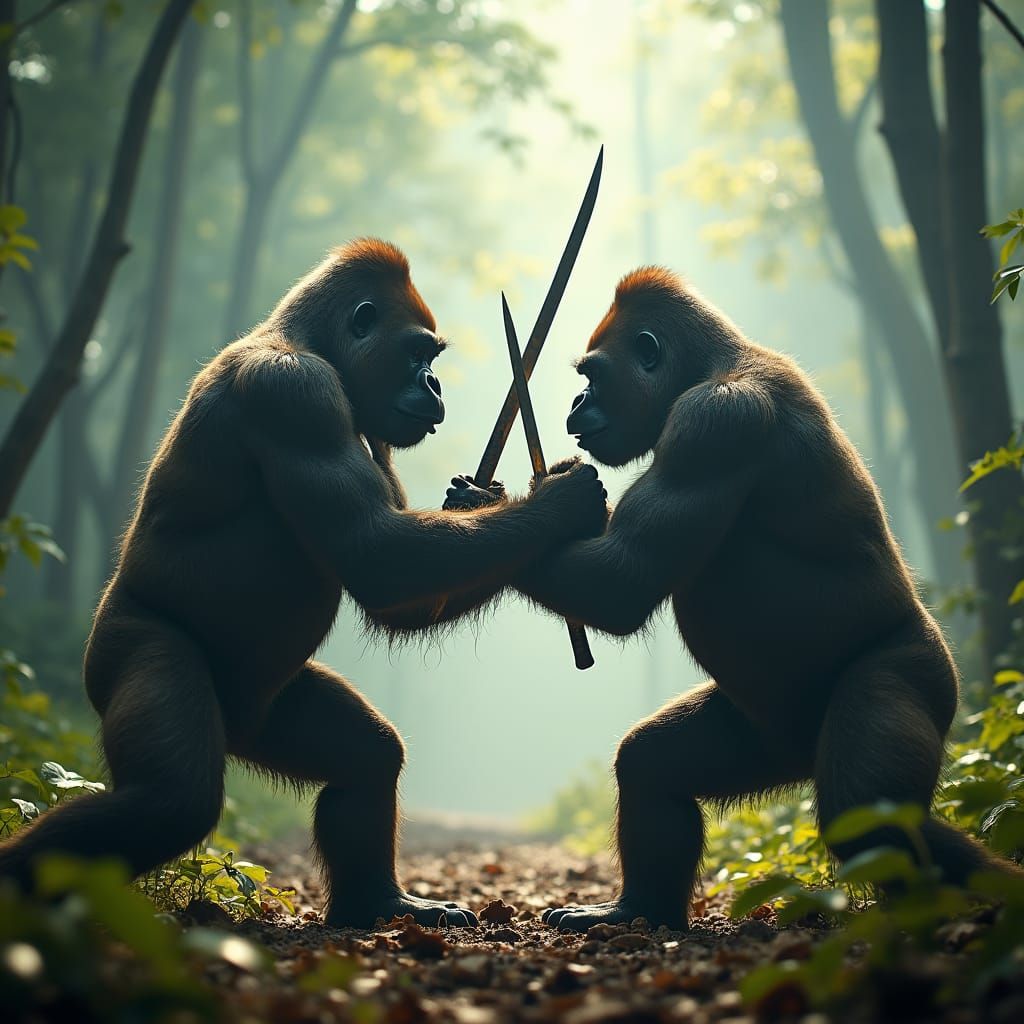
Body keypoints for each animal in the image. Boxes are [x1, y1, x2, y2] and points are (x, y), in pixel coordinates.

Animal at [0, 240, 608, 928]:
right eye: (418, 356)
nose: (433, 384)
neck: (311, 344)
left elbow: (404, 595)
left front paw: (479, 498)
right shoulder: (295, 396)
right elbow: (379, 554)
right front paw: (562, 503)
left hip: (268, 714)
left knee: (369, 757)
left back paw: (379, 901)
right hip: (130, 646)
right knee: (170, 799)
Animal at [449, 266, 1020, 931]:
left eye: (594, 376)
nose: (575, 404)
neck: (709, 366)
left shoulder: (714, 425)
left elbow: (625, 578)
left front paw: (489, 505)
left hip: (910, 671)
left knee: (868, 820)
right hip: (767, 739)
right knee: (650, 766)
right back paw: (636, 910)